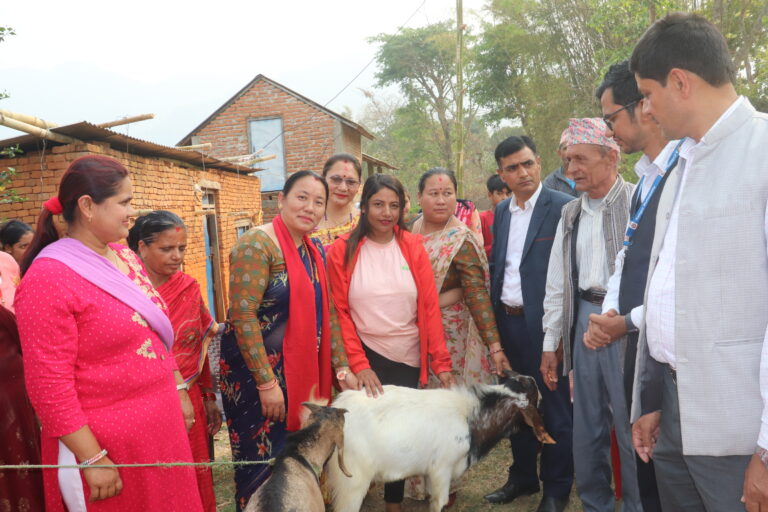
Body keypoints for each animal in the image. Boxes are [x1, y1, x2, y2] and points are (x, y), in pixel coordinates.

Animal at [324, 370, 552, 512]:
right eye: (536, 398)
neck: (469, 415)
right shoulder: (442, 469)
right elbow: (439, 503)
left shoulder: (430, 473)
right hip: (352, 480)